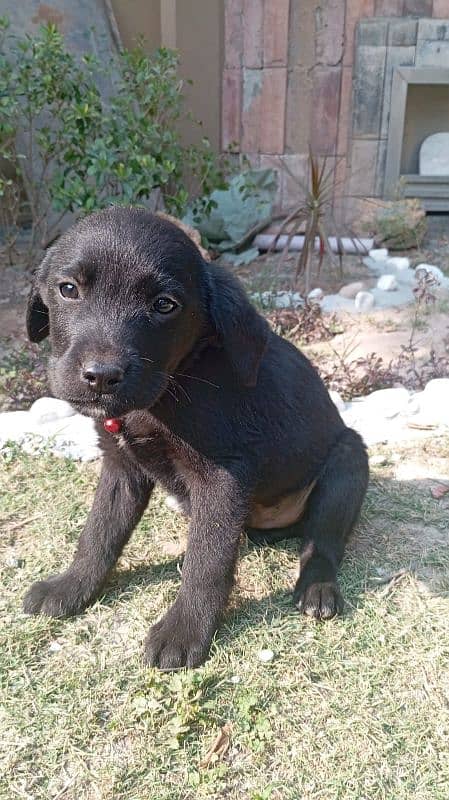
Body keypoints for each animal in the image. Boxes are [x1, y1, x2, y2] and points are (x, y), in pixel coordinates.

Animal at [24, 206, 368, 668]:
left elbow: (208, 563)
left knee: (323, 540)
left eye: (164, 305)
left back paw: (317, 587)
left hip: (348, 460)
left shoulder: (222, 478)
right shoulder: (120, 467)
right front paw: (71, 586)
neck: (169, 387)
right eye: (68, 289)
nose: (101, 376)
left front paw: (184, 630)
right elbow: (98, 534)